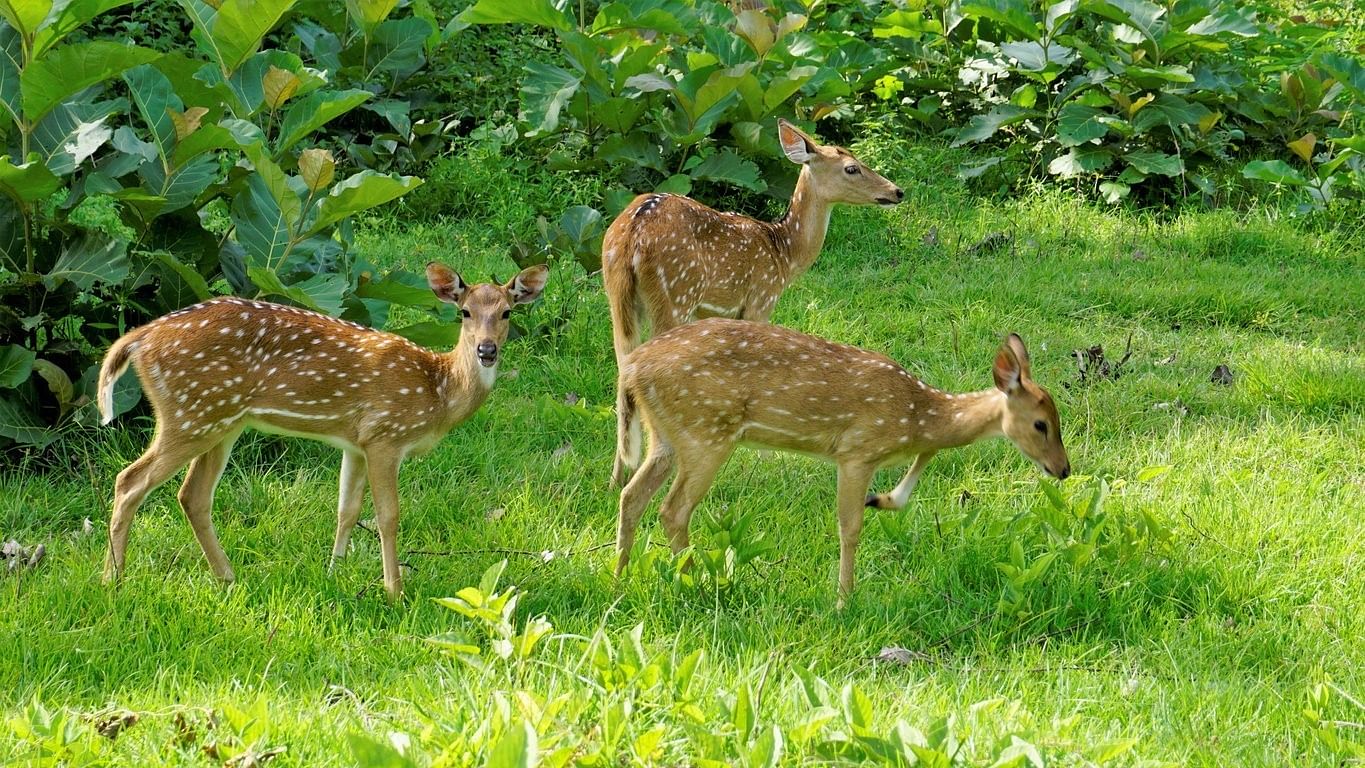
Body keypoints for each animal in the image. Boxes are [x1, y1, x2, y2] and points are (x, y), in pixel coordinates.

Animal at [94, 263, 548, 600]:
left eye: (507, 312)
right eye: (464, 312)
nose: (487, 350)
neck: (436, 391)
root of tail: (139, 339)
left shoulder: (356, 442)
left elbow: (346, 509)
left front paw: (335, 572)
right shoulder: (386, 435)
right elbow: (388, 515)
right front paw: (394, 591)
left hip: (220, 420)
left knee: (192, 495)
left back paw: (227, 577)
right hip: (190, 414)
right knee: (129, 480)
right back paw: (113, 581)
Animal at [603, 118, 900, 485]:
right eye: (852, 168)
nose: (897, 191)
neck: (784, 254)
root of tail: (632, 233)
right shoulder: (761, 299)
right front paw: (767, 459)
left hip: (618, 296)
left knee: (623, 365)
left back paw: (617, 477)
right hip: (675, 293)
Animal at [614, 320, 1070, 608]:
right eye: (1041, 424)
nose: (1063, 469)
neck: (917, 414)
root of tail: (631, 369)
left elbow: (912, 479)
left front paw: (882, 499)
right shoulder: (857, 450)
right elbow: (849, 528)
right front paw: (843, 600)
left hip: (666, 436)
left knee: (631, 495)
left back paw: (620, 580)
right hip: (706, 431)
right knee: (672, 509)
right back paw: (697, 583)